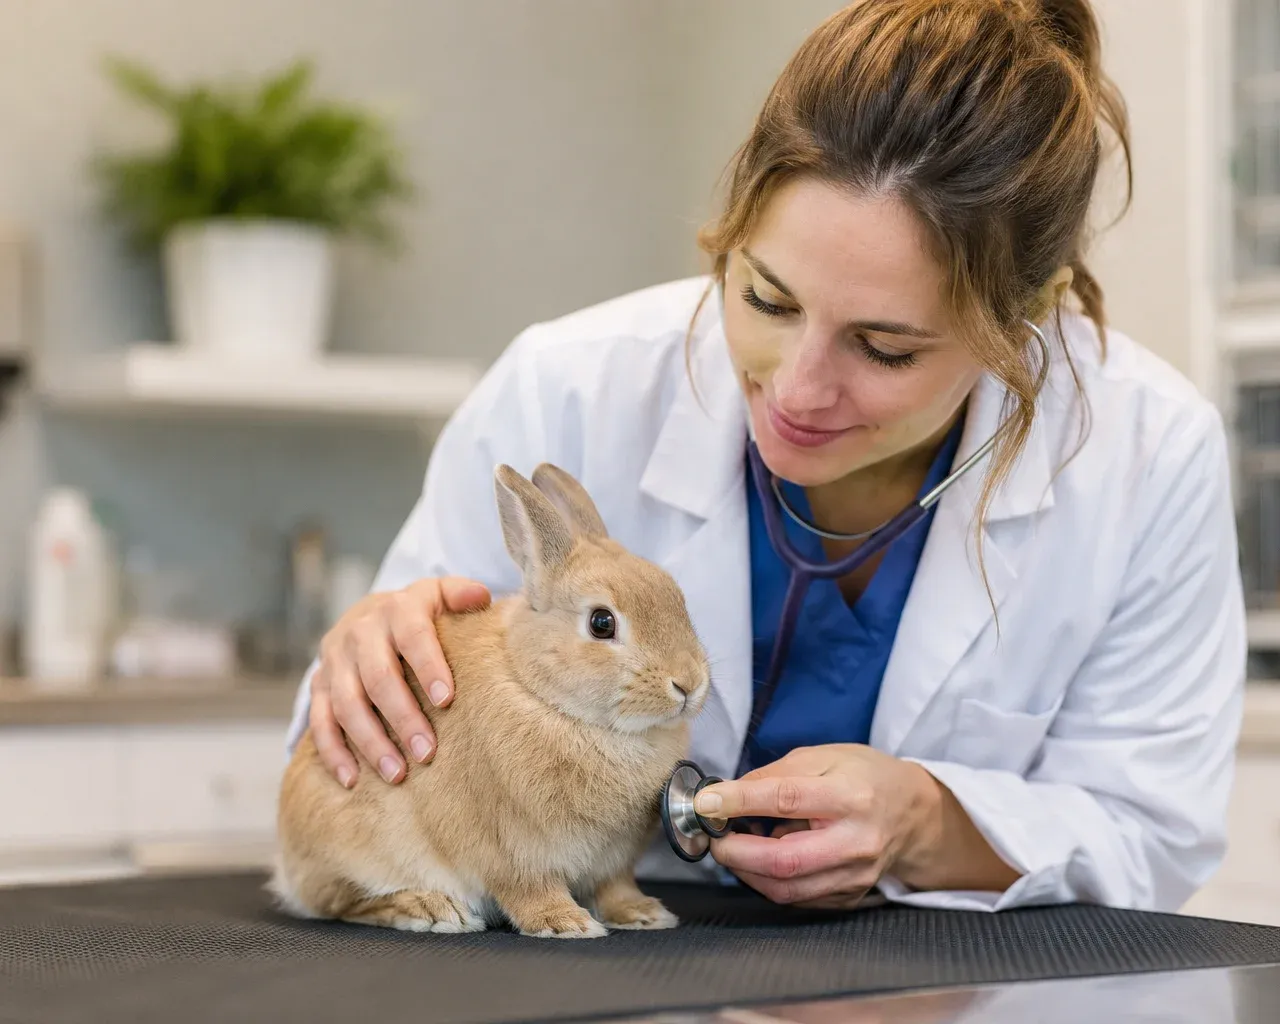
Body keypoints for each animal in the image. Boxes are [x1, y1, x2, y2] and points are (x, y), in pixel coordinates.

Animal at [270, 461, 713, 939]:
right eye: (601, 623)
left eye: (678, 598)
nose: (689, 683)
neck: (545, 697)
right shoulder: (514, 850)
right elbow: (529, 890)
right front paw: (566, 923)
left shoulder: (613, 862)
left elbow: (615, 889)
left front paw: (642, 914)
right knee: (346, 901)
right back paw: (429, 908)